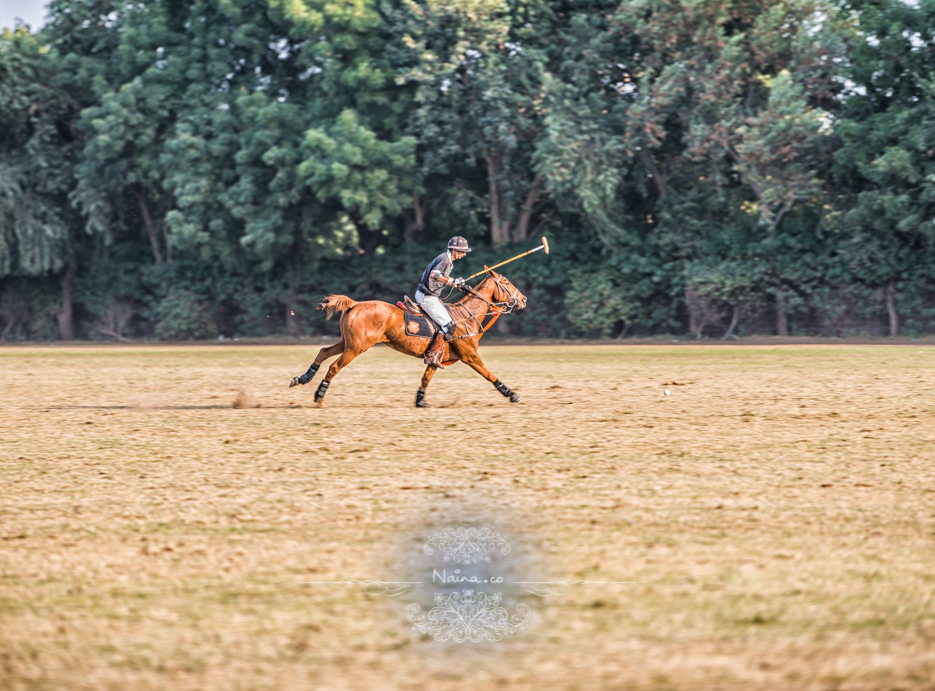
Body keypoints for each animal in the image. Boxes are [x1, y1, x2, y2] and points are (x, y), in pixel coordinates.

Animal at [288, 270, 528, 408]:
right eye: (506, 282)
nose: (524, 299)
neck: (466, 316)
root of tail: (354, 304)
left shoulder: (435, 356)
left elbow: (426, 378)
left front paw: (420, 401)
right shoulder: (470, 355)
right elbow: (489, 374)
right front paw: (512, 394)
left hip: (347, 342)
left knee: (323, 352)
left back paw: (302, 378)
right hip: (356, 347)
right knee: (334, 366)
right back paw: (319, 395)